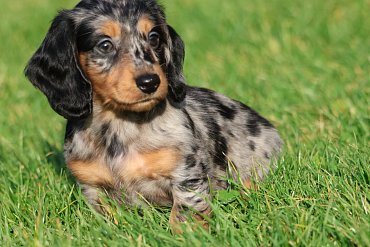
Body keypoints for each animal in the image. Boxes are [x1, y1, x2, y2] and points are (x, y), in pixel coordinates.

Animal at [24, 0, 282, 232]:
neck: (120, 126)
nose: (150, 82)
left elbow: (184, 216)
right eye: (105, 45)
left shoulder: (185, 175)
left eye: (154, 37)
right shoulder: (92, 187)